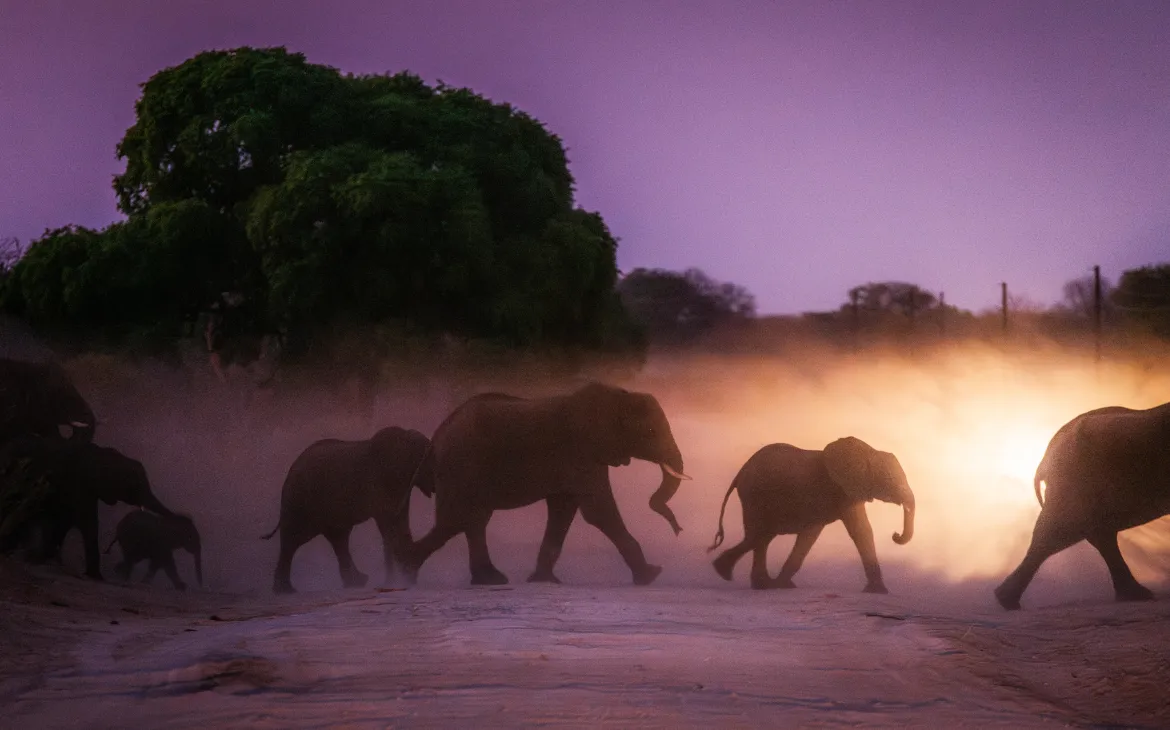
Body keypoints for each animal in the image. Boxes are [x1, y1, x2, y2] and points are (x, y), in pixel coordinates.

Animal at [261, 426, 431, 593]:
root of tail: (291, 469)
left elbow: (399, 519)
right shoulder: (381, 484)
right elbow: (387, 521)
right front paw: (401, 579)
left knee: (338, 538)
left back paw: (357, 582)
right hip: (301, 501)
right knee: (294, 539)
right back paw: (285, 590)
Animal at [400, 382, 690, 586]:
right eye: (651, 432)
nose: (678, 529)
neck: (619, 396)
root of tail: (437, 437)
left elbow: (563, 511)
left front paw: (544, 580)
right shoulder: (582, 451)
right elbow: (598, 511)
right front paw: (651, 575)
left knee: (472, 520)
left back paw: (488, 580)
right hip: (461, 465)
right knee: (457, 519)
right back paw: (407, 573)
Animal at [708, 437, 915, 592]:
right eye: (890, 479)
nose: (895, 534)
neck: (869, 451)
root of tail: (740, 472)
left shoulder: (848, 492)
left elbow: (860, 531)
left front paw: (878, 591)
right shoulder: (835, 490)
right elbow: (816, 532)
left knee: (763, 536)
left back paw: (754, 582)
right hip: (754, 495)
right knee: (760, 534)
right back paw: (729, 573)